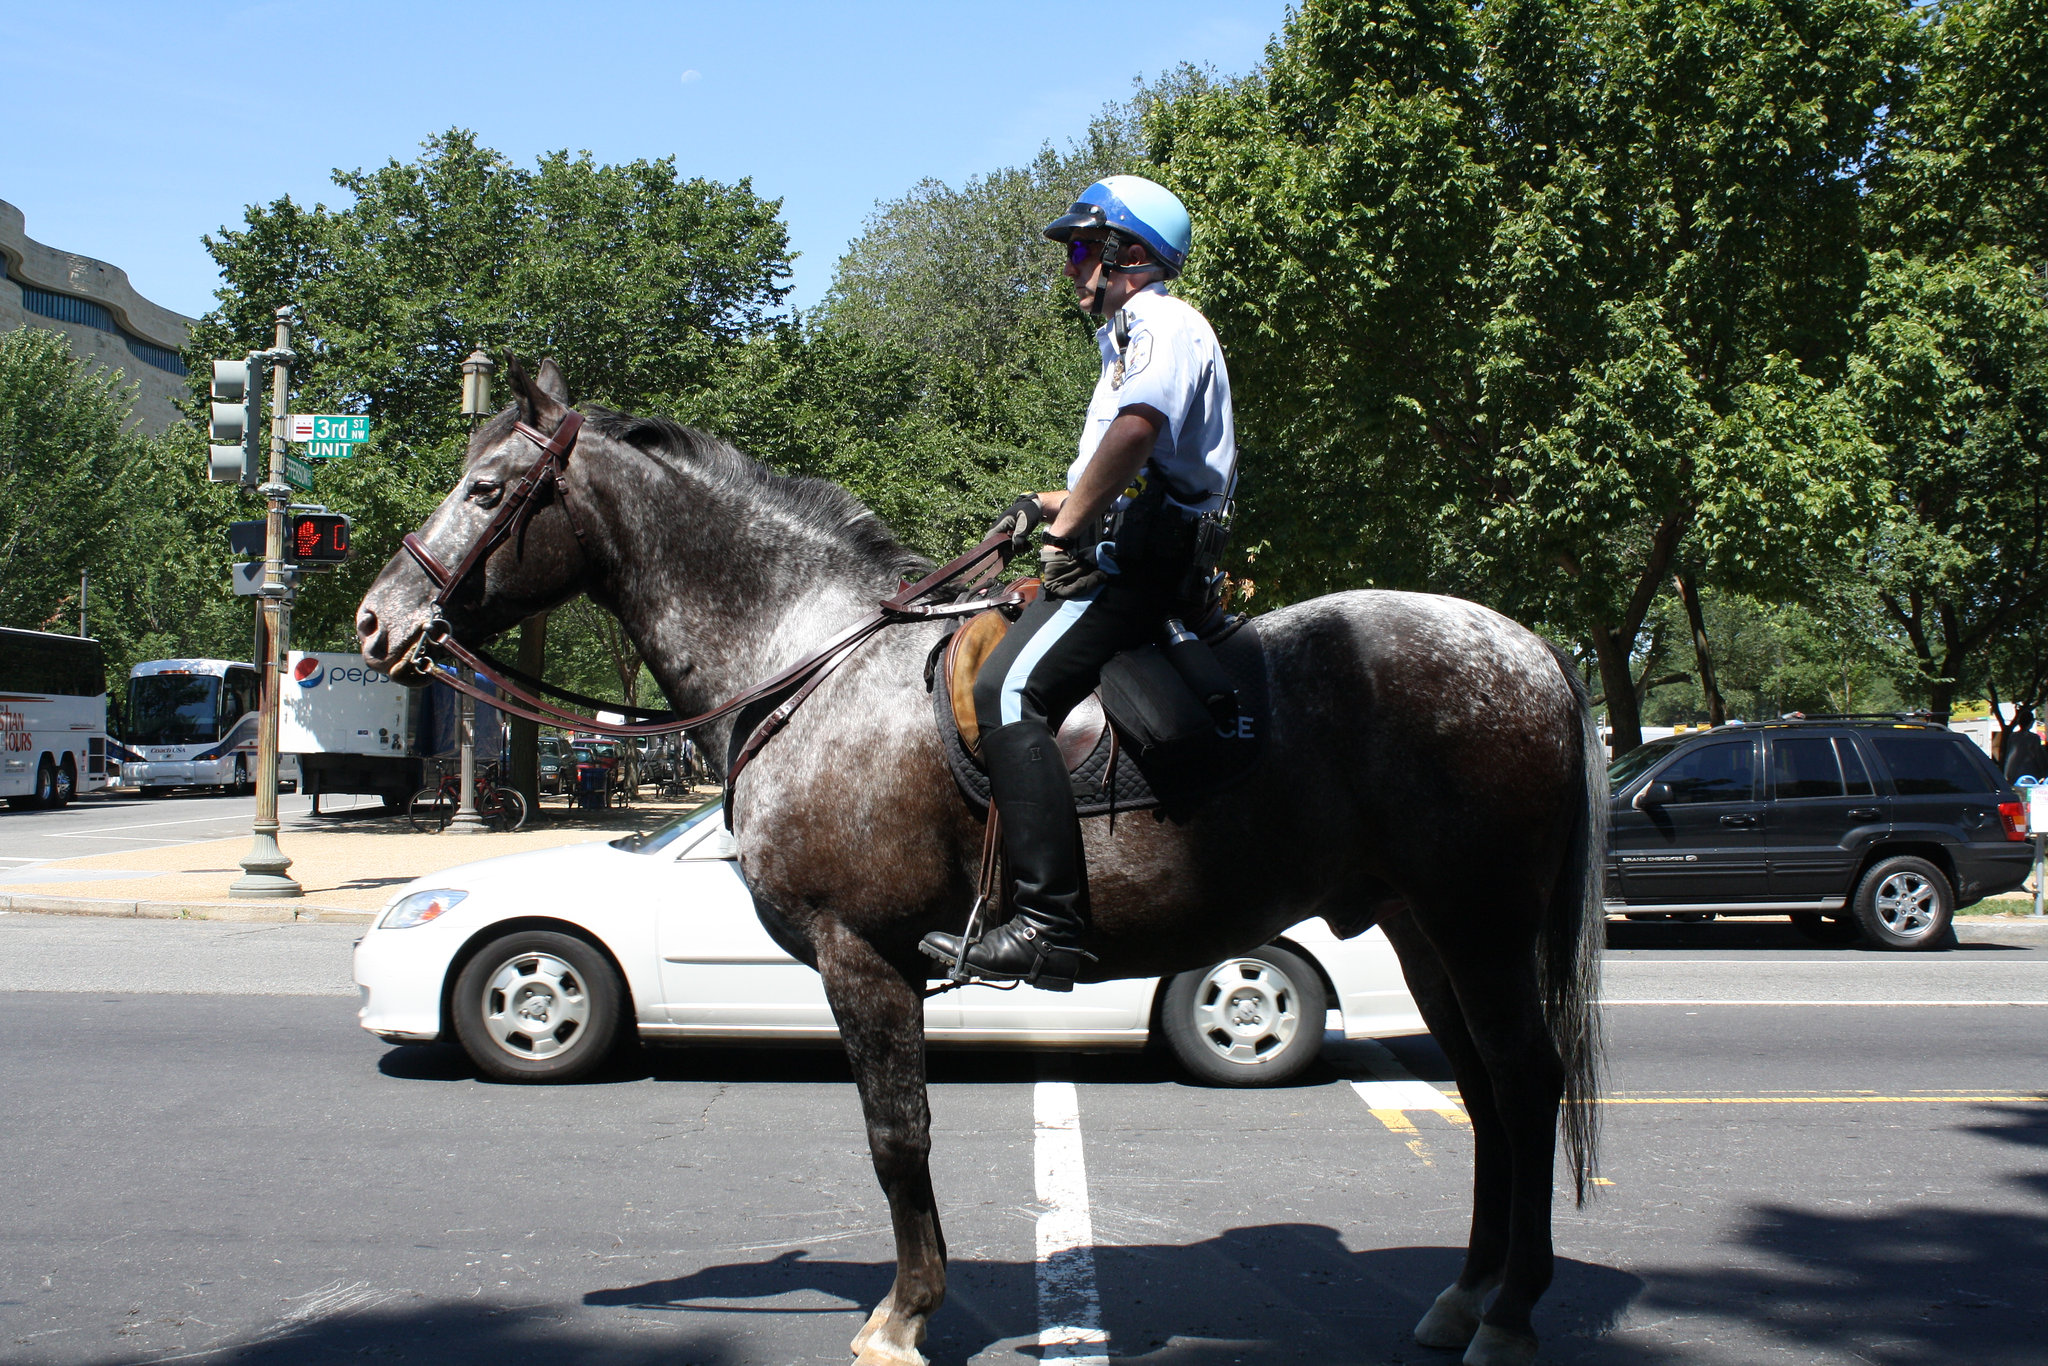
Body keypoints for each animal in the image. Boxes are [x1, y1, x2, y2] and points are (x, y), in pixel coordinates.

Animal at [352, 358, 1605, 1359]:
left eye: (484, 490)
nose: (374, 621)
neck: (811, 658)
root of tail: (1530, 646)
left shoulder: (862, 955)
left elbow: (895, 1134)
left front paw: (903, 1313)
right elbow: (900, 1136)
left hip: (1480, 921)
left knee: (1522, 1079)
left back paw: (1507, 1312)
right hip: (1425, 927)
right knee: (1483, 1091)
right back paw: (1463, 1294)